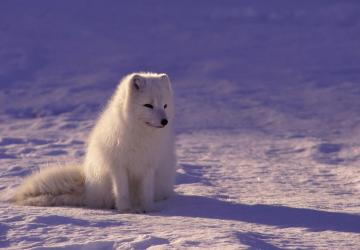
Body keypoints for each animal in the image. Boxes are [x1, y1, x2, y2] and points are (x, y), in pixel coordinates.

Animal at [12, 72, 177, 213]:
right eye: (148, 105)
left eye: (165, 106)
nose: (165, 121)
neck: (140, 135)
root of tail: (88, 188)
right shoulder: (118, 166)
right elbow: (122, 192)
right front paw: (126, 210)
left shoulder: (148, 165)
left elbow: (146, 193)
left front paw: (148, 209)